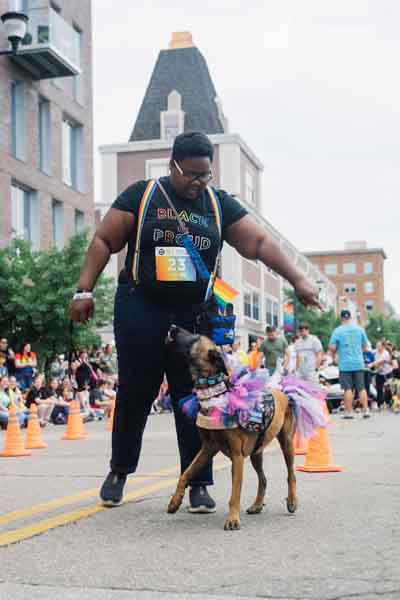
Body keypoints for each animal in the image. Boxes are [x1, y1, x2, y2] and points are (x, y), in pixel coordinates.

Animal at [164, 328, 298, 528]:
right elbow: (186, 474)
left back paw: (292, 501)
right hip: (256, 453)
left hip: (287, 444)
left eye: (195, 337)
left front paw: (233, 519)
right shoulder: (208, 449)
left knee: (291, 474)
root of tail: (281, 391)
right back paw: (257, 505)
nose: (172, 327)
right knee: (263, 479)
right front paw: (175, 501)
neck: (215, 392)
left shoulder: (237, 456)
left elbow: (235, 493)